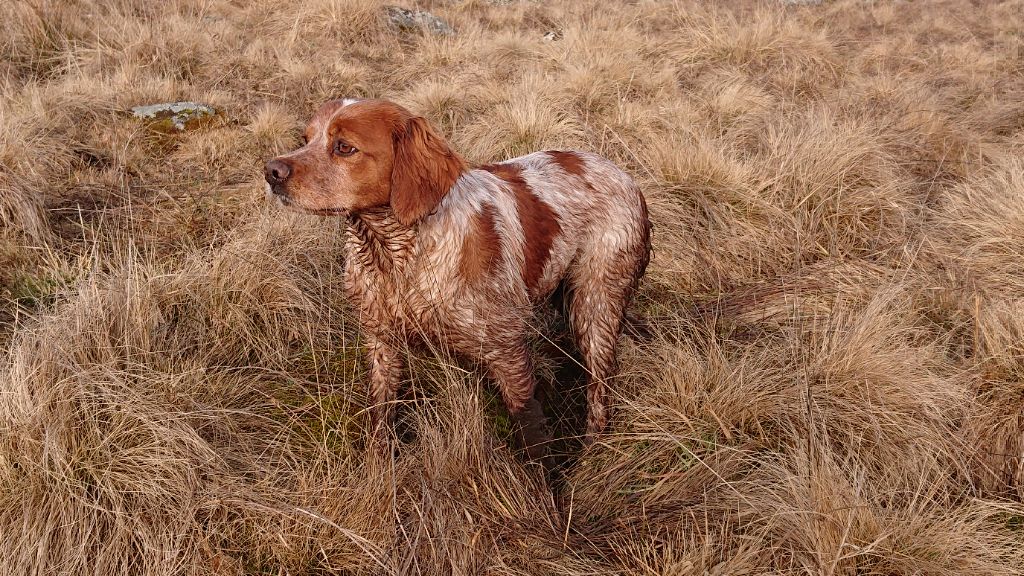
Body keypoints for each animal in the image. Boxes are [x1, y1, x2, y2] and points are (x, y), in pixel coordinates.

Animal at [264, 98, 647, 448]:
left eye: (344, 147)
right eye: (305, 139)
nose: (271, 171)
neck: (397, 256)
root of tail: (623, 175)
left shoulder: (508, 352)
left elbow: (532, 437)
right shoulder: (381, 342)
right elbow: (381, 416)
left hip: (596, 305)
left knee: (600, 387)